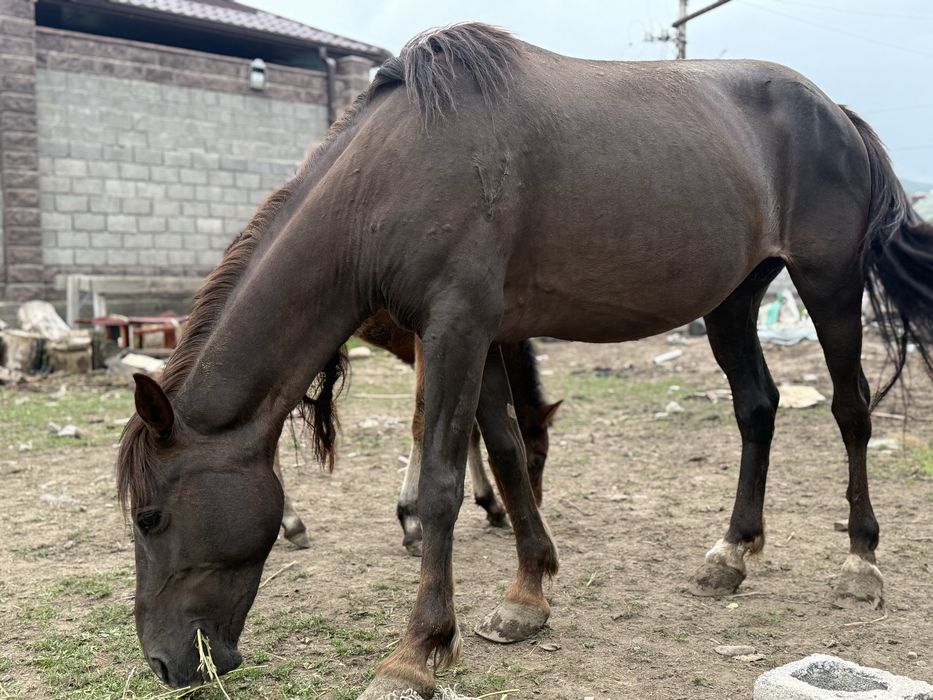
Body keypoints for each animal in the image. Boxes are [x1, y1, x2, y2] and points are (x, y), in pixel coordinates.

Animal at [117, 24, 933, 698]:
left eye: (150, 518)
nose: (164, 663)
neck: (392, 176)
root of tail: (835, 111)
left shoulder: (456, 327)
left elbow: (443, 484)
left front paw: (415, 652)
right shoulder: (473, 335)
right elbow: (507, 455)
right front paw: (526, 596)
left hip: (828, 283)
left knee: (851, 409)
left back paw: (860, 564)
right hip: (732, 300)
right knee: (756, 406)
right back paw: (730, 555)